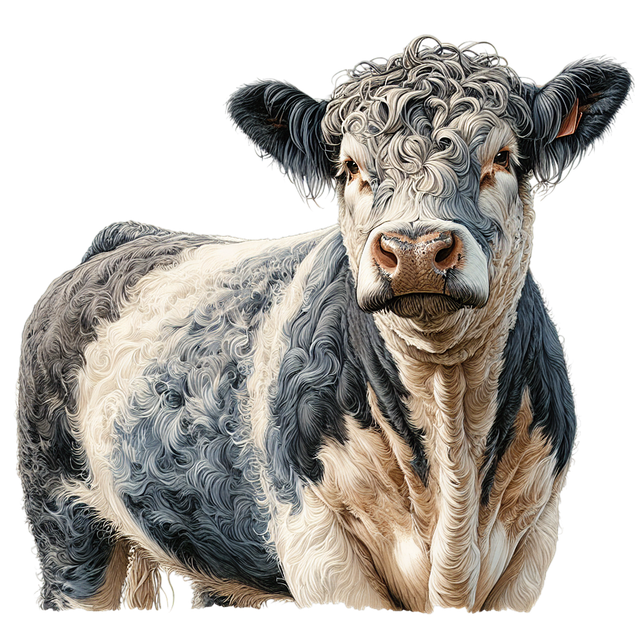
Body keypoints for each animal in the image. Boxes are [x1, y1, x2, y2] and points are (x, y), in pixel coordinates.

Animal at [15, 35, 632, 613]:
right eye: (351, 168)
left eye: (502, 157)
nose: (415, 249)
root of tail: (129, 236)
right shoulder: (320, 549)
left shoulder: (530, 552)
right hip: (64, 524)